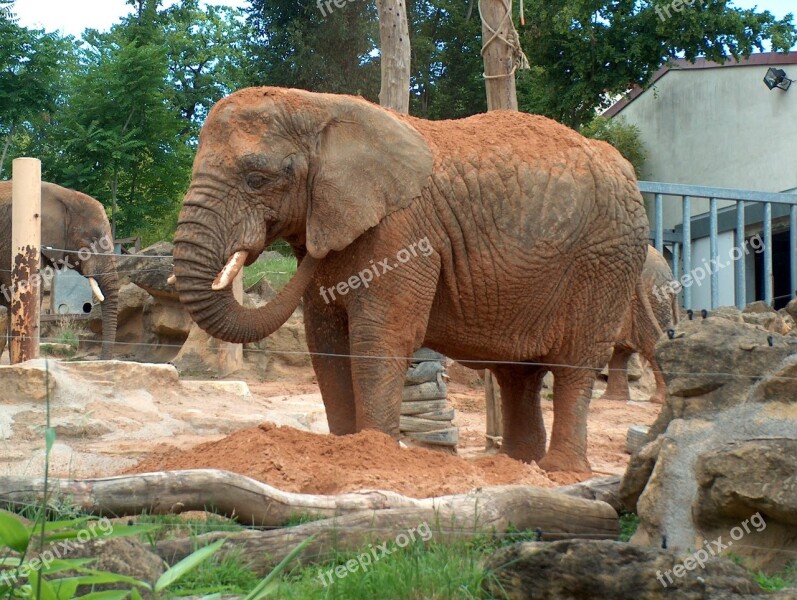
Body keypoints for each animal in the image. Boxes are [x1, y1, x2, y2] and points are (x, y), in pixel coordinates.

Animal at [173, 89, 652, 474]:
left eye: (257, 179)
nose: (310, 247)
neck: (319, 106)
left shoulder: (403, 230)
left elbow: (380, 339)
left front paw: (373, 455)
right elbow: (325, 342)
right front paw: (343, 452)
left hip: (606, 258)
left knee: (574, 365)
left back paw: (559, 472)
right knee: (518, 374)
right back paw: (516, 466)